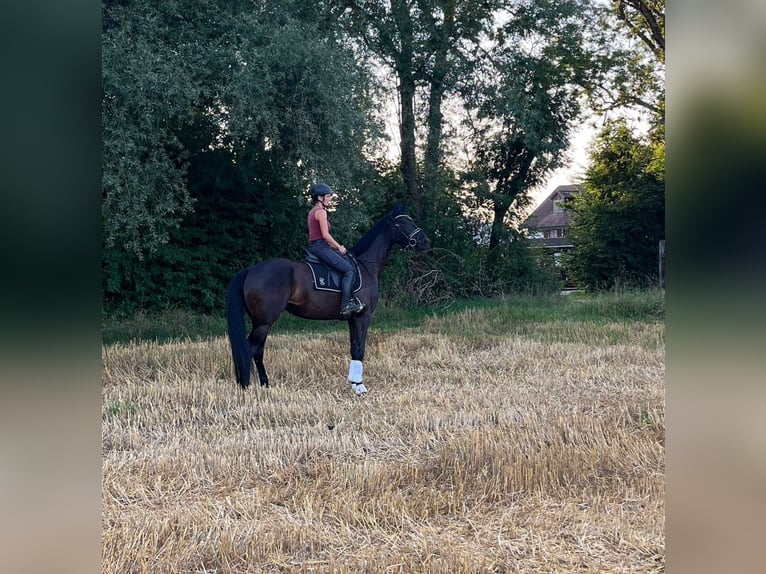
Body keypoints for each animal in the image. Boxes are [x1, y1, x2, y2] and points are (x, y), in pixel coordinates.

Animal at [225, 204, 431, 395]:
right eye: (403, 222)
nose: (425, 241)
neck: (365, 267)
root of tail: (250, 271)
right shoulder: (363, 317)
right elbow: (360, 349)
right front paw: (360, 386)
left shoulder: (352, 319)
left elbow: (354, 348)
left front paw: (354, 383)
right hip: (264, 321)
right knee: (250, 348)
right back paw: (246, 386)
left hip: (261, 322)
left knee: (257, 350)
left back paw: (264, 384)